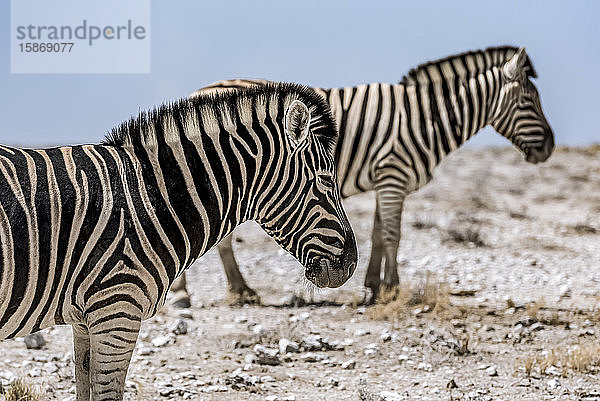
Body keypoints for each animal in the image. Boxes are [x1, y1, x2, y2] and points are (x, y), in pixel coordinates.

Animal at [171, 45, 556, 304]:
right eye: (528, 101)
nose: (550, 148)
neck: (427, 118)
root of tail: (197, 92)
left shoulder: (387, 180)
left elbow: (377, 234)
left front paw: (374, 285)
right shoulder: (393, 175)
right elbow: (393, 235)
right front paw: (392, 289)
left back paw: (238, 290)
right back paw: (190, 294)